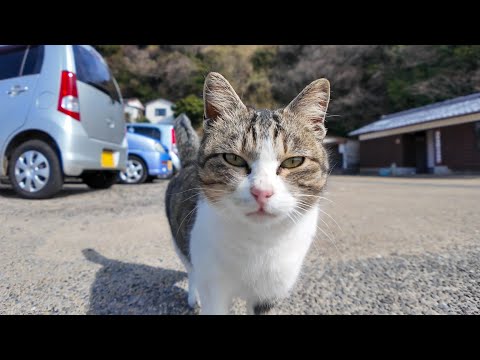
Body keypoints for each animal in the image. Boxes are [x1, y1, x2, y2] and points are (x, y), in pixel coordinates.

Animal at [166, 71, 330, 314]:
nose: (262, 192)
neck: (258, 242)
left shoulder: (270, 293)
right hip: (181, 241)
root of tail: (187, 163)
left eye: (293, 161)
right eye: (233, 159)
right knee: (191, 270)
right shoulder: (213, 288)